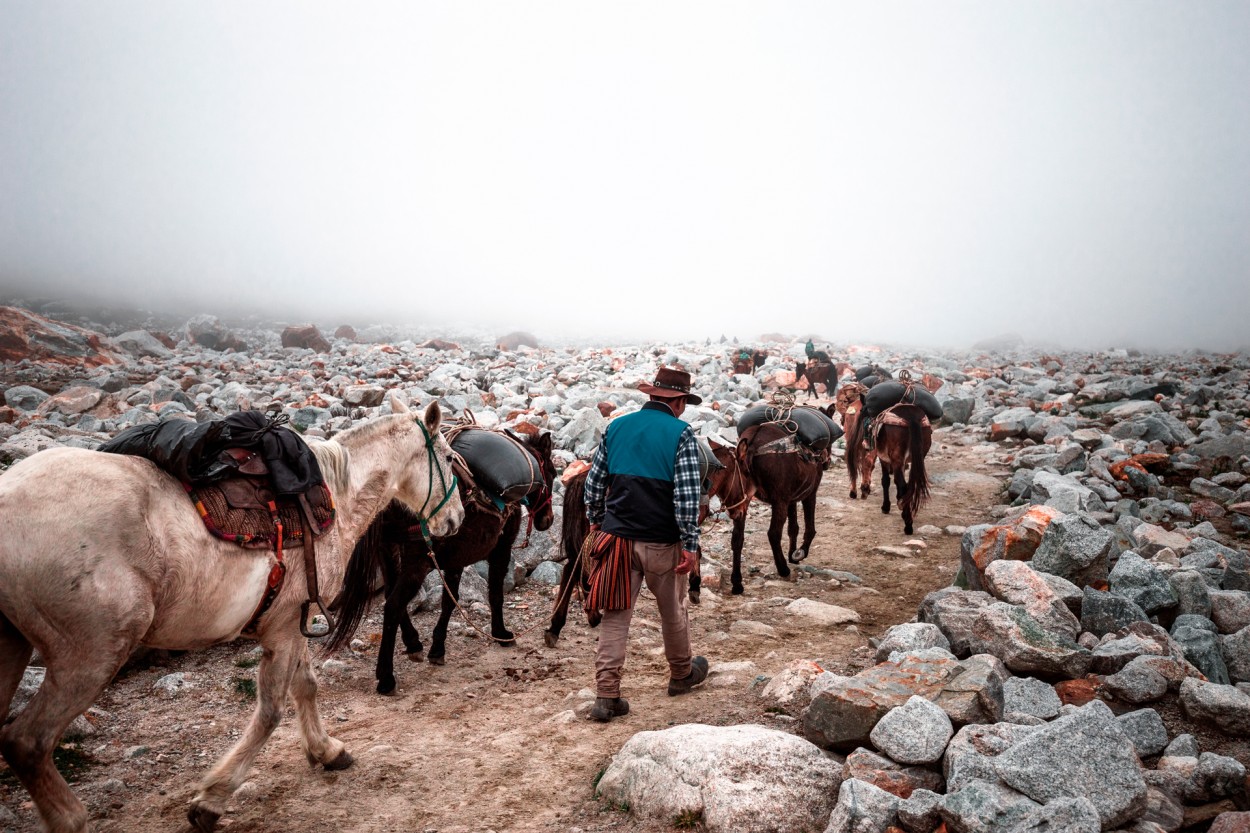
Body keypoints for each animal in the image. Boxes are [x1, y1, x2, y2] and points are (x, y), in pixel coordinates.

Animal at [0, 395, 465, 830]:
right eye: (446, 457)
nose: (457, 518)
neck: (338, 499)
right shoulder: (284, 630)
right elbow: (273, 710)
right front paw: (212, 799)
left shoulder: (292, 624)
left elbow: (306, 687)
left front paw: (327, 750)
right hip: (91, 656)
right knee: (27, 743)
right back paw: (71, 818)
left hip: (15, 648)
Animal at [330, 427, 555, 695]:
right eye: (552, 473)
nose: (548, 520)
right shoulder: (501, 549)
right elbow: (494, 594)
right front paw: (501, 633)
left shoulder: (456, 558)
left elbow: (450, 599)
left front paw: (436, 648)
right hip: (416, 562)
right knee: (393, 604)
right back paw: (386, 677)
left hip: (388, 551)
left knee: (391, 596)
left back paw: (413, 644)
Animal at [850, 400, 930, 532]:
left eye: (862, 412)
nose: (864, 444)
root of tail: (911, 416)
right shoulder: (903, 462)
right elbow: (897, 481)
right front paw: (899, 500)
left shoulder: (884, 459)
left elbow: (886, 481)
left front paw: (886, 507)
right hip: (919, 456)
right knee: (910, 484)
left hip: (896, 457)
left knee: (903, 485)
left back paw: (908, 524)